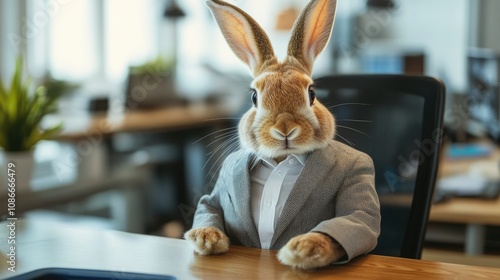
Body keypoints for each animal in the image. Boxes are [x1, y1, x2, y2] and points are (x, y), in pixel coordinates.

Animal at [184, 0, 378, 270]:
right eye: (254, 97)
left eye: (311, 93)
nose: (285, 129)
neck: (280, 159)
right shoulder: (215, 194)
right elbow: (208, 205)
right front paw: (206, 238)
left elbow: (357, 217)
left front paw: (304, 249)